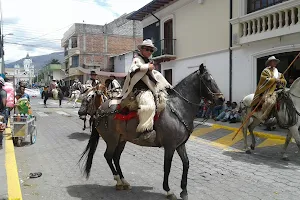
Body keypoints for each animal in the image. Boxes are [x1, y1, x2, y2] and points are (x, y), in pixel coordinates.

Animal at [78, 64, 224, 200]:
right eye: (208, 80)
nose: (221, 99)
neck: (178, 108)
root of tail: (99, 111)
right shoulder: (170, 146)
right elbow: (167, 167)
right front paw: (168, 190)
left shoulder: (180, 145)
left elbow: (186, 163)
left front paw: (184, 191)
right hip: (112, 140)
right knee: (108, 156)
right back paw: (118, 181)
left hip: (121, 140)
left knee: (116, 157)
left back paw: (124, 181)